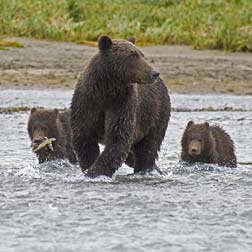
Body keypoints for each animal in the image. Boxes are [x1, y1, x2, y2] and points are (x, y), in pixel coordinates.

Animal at [70, 35, 170, 177]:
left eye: (142, 54)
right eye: (133, 55)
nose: (155, 73)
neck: (107, 89)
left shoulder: (122, 103)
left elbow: (118, 139)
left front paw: (93, 173)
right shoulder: (87, 102)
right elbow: (84, 139)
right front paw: (88, 169)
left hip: (155, 114)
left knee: (148, 147)